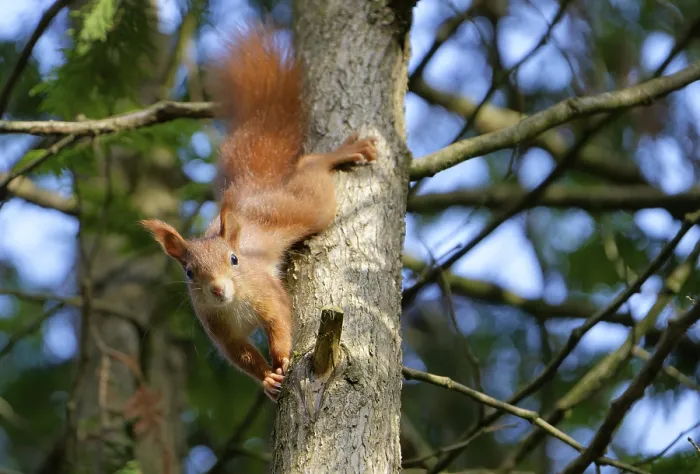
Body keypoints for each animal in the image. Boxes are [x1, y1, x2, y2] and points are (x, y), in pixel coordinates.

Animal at [140, 23, 377, 401]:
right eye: (190, 273)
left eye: (234, 259)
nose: (218, 290)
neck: (232, 303)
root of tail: (252, 190)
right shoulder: (218, 329)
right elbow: (242, 356)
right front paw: (266, 378)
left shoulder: (267, 291)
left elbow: (280, 319)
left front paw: (281, 357)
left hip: (303, 207)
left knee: (312, 169)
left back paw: (342, 153)